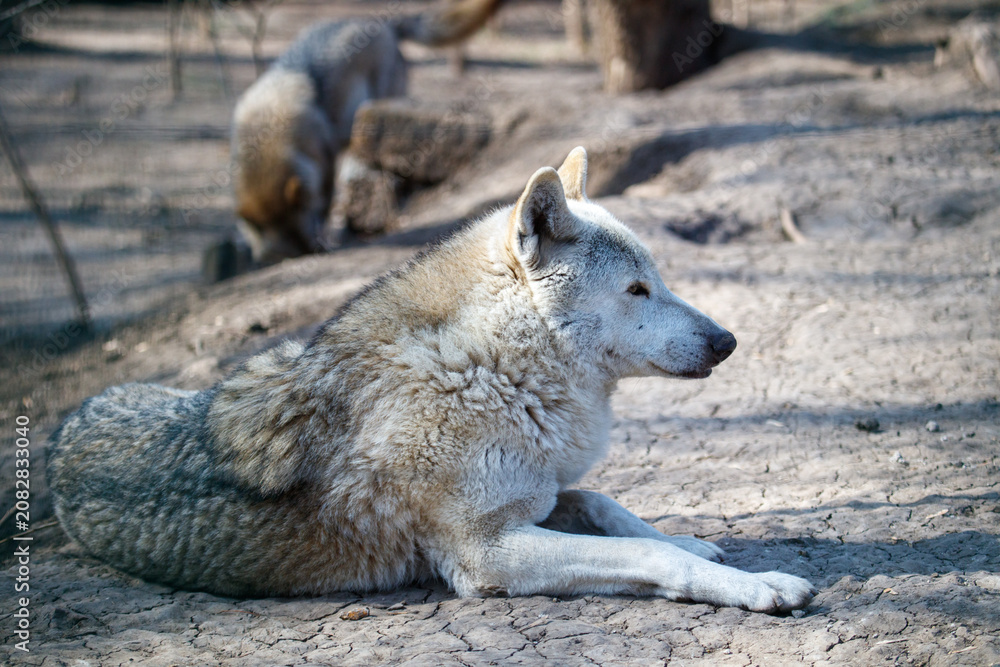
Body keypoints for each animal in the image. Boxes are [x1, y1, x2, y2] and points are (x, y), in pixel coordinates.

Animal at [49, 148, 815, 612]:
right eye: (637, 289)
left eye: (659, 280)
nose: (728, 340)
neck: (488, 371)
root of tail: (64, 422)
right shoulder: (487, 553)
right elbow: (644, 552)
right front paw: (758, 585)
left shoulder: (534, 496)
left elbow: (608, 506)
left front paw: (695, 541)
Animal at [232, 0, 503, 264]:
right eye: (292, 253)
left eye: (304, 240)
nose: (311, 251)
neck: (266, 128)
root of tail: (386, 24)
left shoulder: (326, 166)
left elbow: (326, 205)